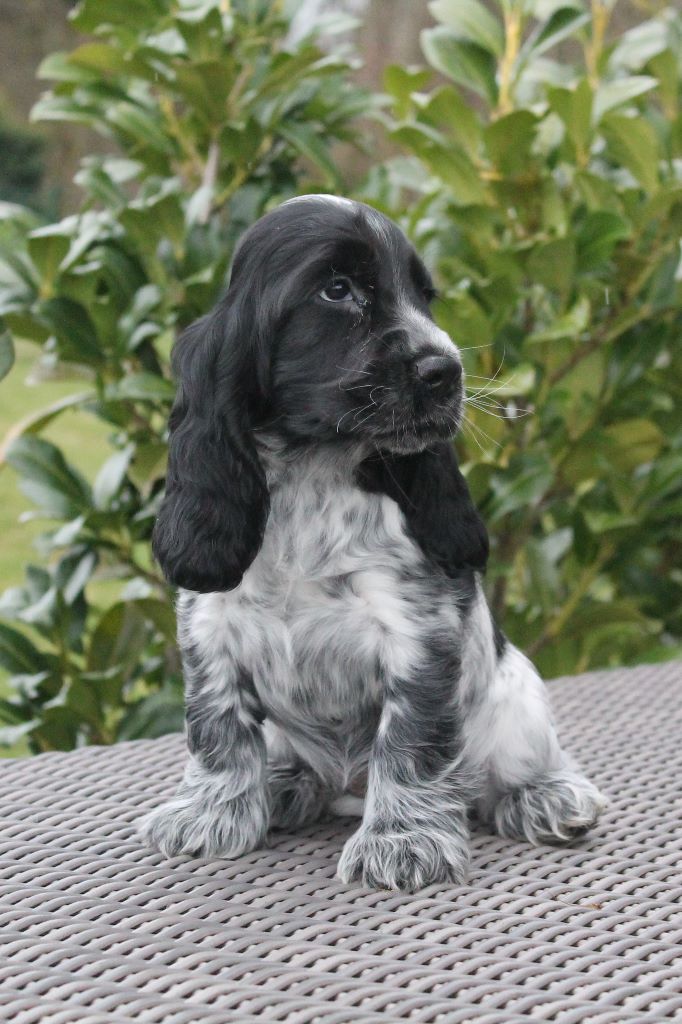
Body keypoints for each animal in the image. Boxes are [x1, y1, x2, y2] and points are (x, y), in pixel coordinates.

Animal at [139, 195, 606, 892]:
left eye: (425, 297)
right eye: (338, 291)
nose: (447, 372)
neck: (314, 474)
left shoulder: (419, 634)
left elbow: (410, 742)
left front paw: (403, 841)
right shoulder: (209, 626)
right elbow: (217, 726)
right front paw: (210, 815)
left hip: (517, 695)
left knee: (504, 772)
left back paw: (546, 798)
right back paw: (285, 786)